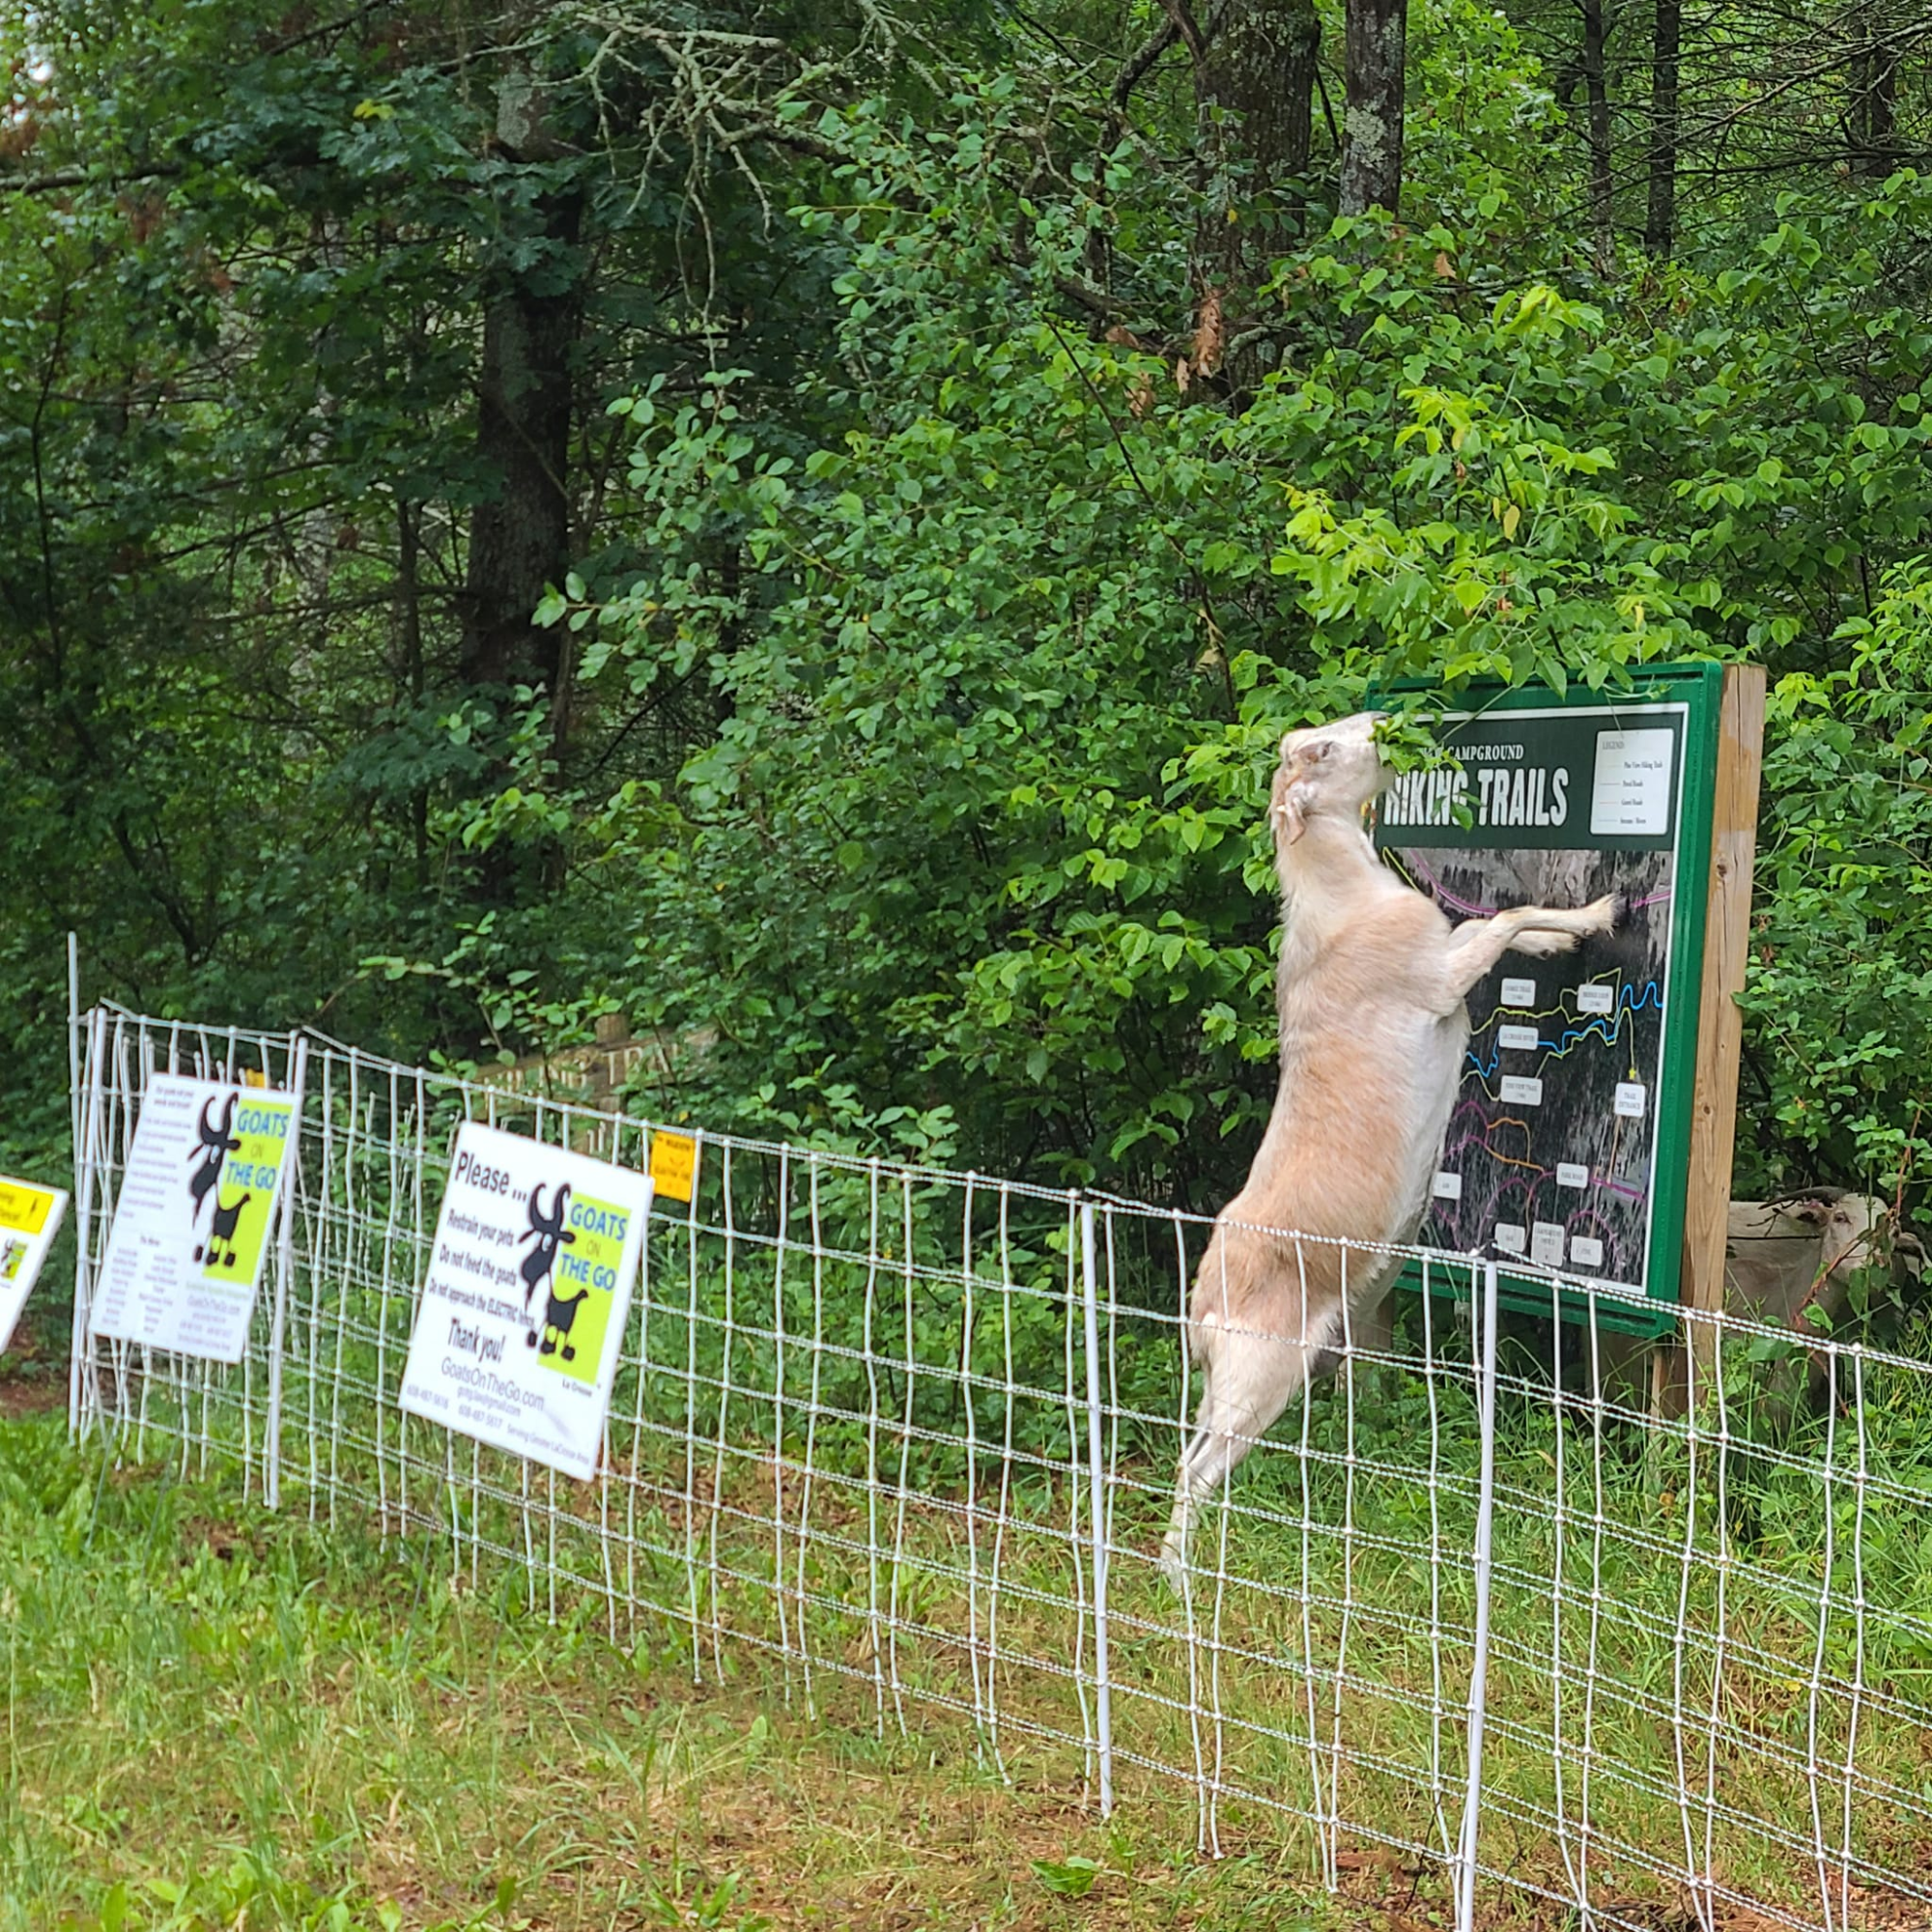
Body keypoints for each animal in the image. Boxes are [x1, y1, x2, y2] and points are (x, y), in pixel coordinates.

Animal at [1160, 712, 1617, 1590]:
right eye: (1321, 751)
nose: (1378, 722)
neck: (1341, 901)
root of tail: (1201, 1311)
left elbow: (1505, 924)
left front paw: (1570, 934)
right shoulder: (1436, 976)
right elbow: (1495, 924)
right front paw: (1599, 913)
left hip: (1241, 1379)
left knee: (1193, 1456)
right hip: (1260, 1374)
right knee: (1192, 1473)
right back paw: (1179, 1580)